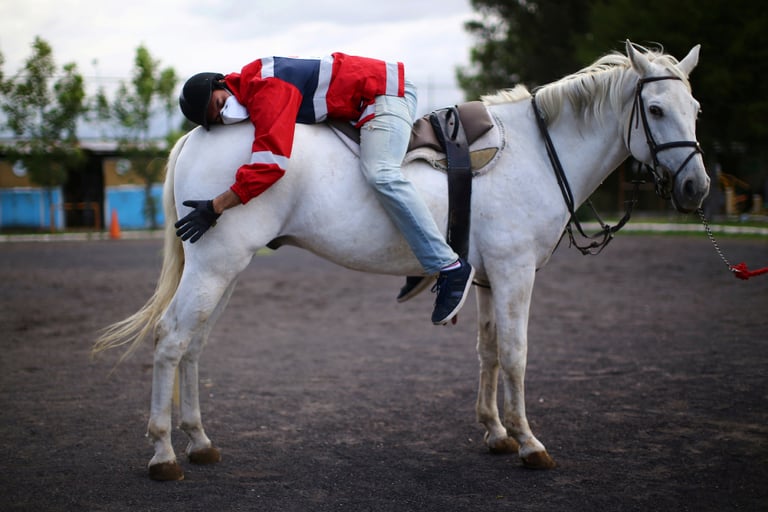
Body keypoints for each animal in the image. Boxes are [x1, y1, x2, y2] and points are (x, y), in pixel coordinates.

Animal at [94, 41, 710, 480]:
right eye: (655, 108)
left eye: (696, 108)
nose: (696, 188)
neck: (537, 151)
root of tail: (193, 137)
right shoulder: (514, 274)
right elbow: (515, 355)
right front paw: (530, 444)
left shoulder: (489, 279)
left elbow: (488, 353)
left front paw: (496, 433)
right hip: (215, 266)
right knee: (171, 339)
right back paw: (164, 454)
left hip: (224, 271)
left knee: (194, 345)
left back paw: (199, 442)